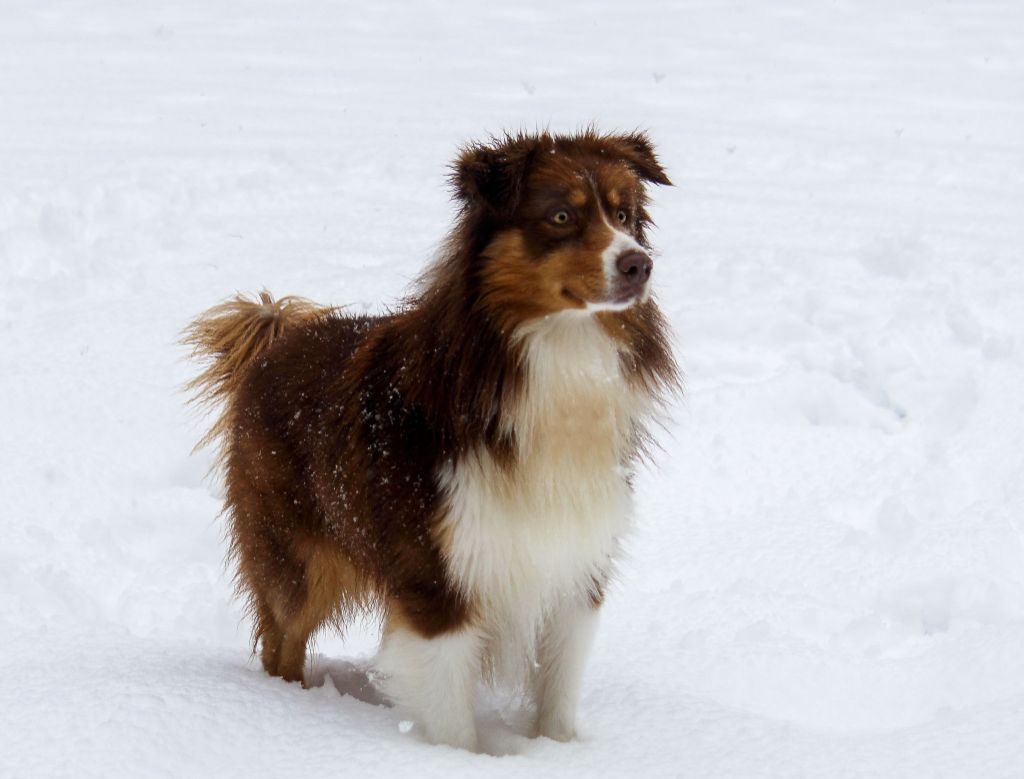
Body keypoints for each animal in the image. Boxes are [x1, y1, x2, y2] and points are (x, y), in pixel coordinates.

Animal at [184, 130, 679, 749]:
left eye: (624, 215)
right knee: (282, 643)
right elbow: (449, 714)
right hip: (292, 558)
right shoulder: (437, 575)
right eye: (561, 216)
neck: (555, 359)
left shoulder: (575, 566)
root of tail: (279, 339)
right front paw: (455, 758)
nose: (640, 264)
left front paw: (560, 750)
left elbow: (558, 691)